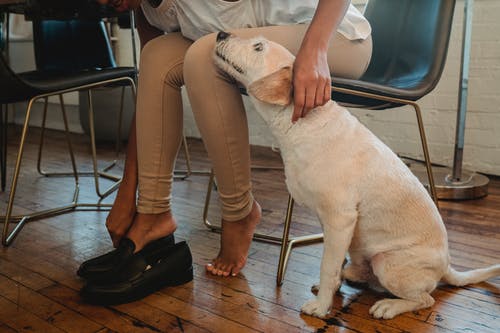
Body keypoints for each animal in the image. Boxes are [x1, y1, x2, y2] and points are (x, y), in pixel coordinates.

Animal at [212, 31, 500, 320]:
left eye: (258, 47)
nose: (221, 34)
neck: (303, 123)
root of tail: (447, 266)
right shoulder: (334, 225)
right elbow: (333, 264)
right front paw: (331, 290)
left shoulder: (340, 220)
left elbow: (327, 267)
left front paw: (321, 307)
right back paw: (354, 275)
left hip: (387, 262)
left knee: (425, 299)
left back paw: (389, 306)